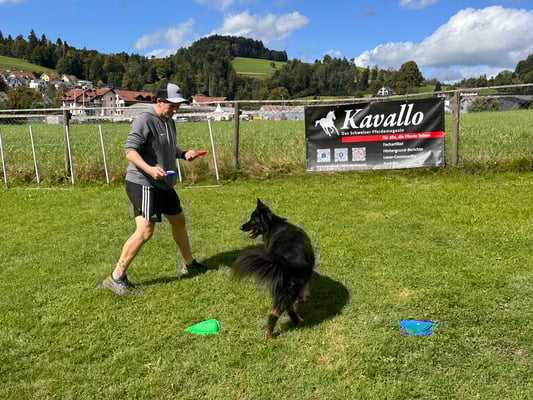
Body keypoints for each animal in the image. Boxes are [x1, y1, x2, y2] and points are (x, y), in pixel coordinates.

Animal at [235, 199, 315, 338]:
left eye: (252, 220)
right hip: (287, 289)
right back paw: (271, 334)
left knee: (283, 309)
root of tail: (284, 262)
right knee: (277, 311)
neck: (273, 225)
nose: (240, 227)